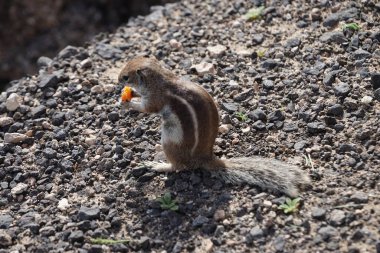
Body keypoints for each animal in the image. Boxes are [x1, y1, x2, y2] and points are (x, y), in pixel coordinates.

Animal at [118, 56, 308, 197]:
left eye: (126, 76)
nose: (118, 79)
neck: (159, 80)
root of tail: (206, 158)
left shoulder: (156, 99)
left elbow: (146, 108)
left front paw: (127, 103)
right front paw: (130, 93)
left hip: (170, 140)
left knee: (179, 167)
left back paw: (158, 165)